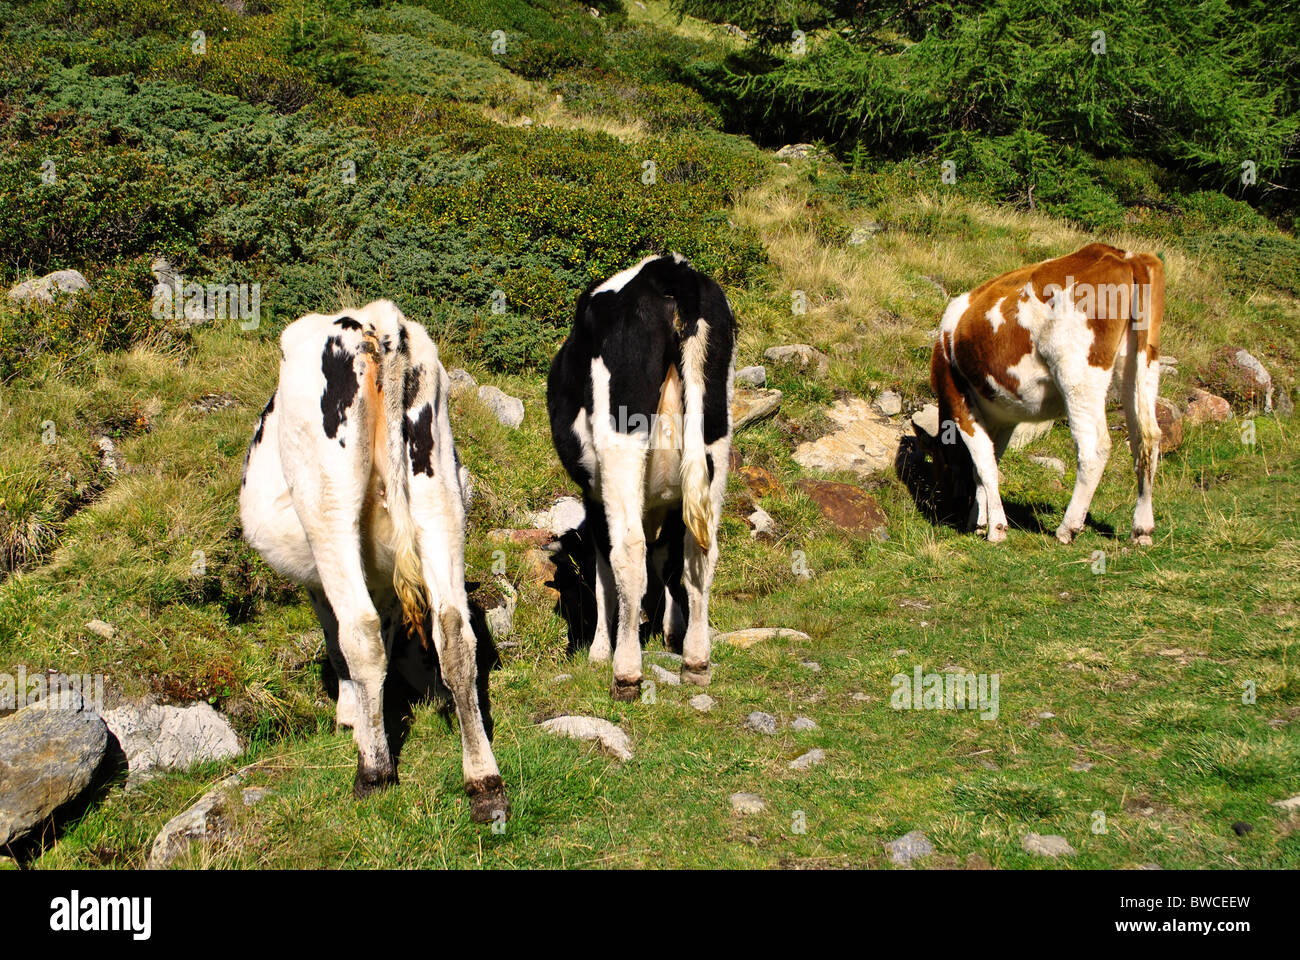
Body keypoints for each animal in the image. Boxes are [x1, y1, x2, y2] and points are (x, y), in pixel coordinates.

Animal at [239, 299, 508, 823]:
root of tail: (375, 320)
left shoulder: (320, 584)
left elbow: (339, 641)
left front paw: (351, 719)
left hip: (328, 504)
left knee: (359, 631)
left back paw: (373, 772)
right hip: (439, 490)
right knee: (454, 632)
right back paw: (483, 782)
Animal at [547, 254, 736, 701]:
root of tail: (669, 268)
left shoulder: (594, 496)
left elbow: (604, 576)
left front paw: (601, 650)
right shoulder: (671, 502)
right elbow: (668, 559)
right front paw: (670, 629)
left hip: (621, 438)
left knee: (629, 552)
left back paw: (626, 672)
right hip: (714, 435)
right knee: (702, 551)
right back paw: (696, 661)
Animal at [928, 242, 1165, 545]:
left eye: (939, 464)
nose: (941, 505)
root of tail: (1123, 255)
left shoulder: (957, 399)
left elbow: (984, 465)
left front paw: (995, 528)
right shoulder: (1003, 417)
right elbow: (988, 462)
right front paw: (979, 520)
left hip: (1077, 374)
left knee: (1094, 448)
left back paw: (1068, 528)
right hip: (1142, 365)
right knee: (1146, 439)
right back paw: (1142, 529)